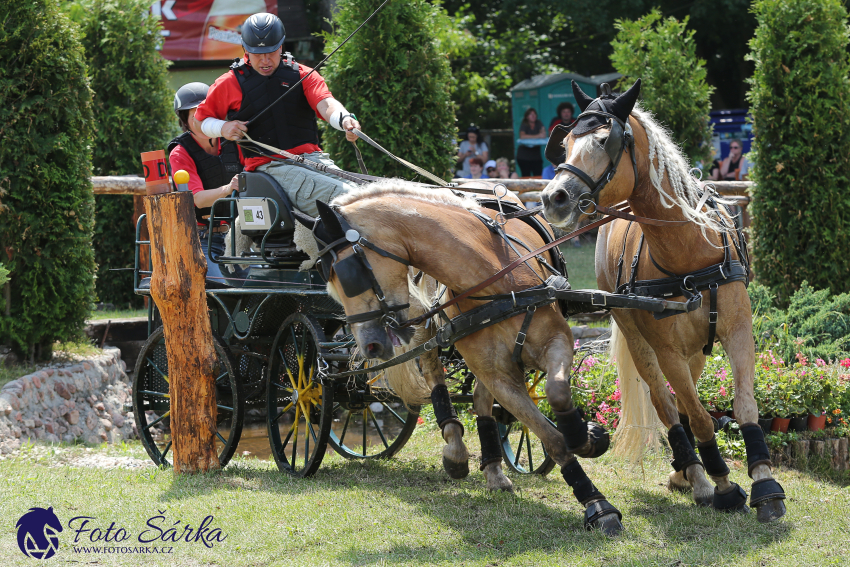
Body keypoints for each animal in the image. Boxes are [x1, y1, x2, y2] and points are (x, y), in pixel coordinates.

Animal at [292, 183, 624, 536]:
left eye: (345, 274)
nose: (369, 346)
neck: (497, 280)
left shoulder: (556, 342)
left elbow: (557, 393)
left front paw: (586, 439)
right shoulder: (497, 373)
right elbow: (551, 438)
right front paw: (596, 504)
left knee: (479, 399)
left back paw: (493, 467)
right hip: (424, 326)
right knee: (435, 374)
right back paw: (456, 448)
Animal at [540, 80, 784, 524]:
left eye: (603, 140)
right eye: (564, 143)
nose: (554, 199)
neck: (688, 251)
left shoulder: (739, 333)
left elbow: (743, 407)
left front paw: (765, 483)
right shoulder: (666, 348)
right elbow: (700, 418)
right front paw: (722, 486)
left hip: (697, 348)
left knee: (684, 399)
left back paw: (686, 472)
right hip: (641, 340)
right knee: (665, 401)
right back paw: (696, 475)